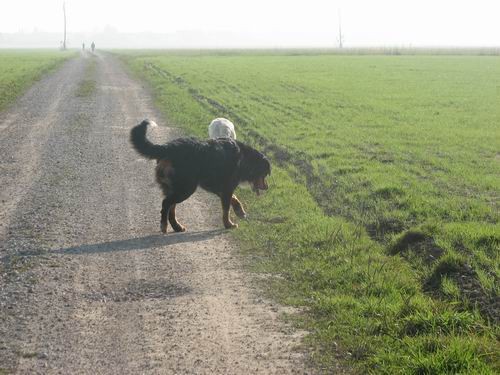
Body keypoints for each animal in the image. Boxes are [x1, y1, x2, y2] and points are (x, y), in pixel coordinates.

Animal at [129, 120, 270, 234]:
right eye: (265, 174)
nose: (267, 187)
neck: (244, 158)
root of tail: (169, 147)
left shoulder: (219, 188)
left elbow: (234, 199)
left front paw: (239, 211)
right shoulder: (226, 188)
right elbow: (226, 210)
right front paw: (228, 224)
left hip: (177, 188)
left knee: (171, 208)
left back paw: (177, 227)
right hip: (186, 188)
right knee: (166, 204)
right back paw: (164, 225)